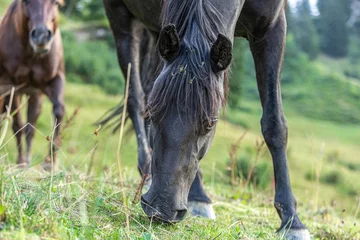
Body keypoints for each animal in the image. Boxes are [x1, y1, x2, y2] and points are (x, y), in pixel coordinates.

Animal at [0, 0, 65, 171]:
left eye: (56, 3)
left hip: (34, 94)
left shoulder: (54, 81)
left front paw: (50, 162)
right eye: (26, 2)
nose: (41, 36)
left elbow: (58, 112)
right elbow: (18, 125)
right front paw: (21, 161)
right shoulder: (12, 87)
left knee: (32, 125)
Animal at [102, 0, 310, 238]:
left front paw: (292, 220)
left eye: (210, 123)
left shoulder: (272, 29)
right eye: (152, 114)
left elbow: (275, 123)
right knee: (135, 97)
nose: (161, 207)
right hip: (121, 19)